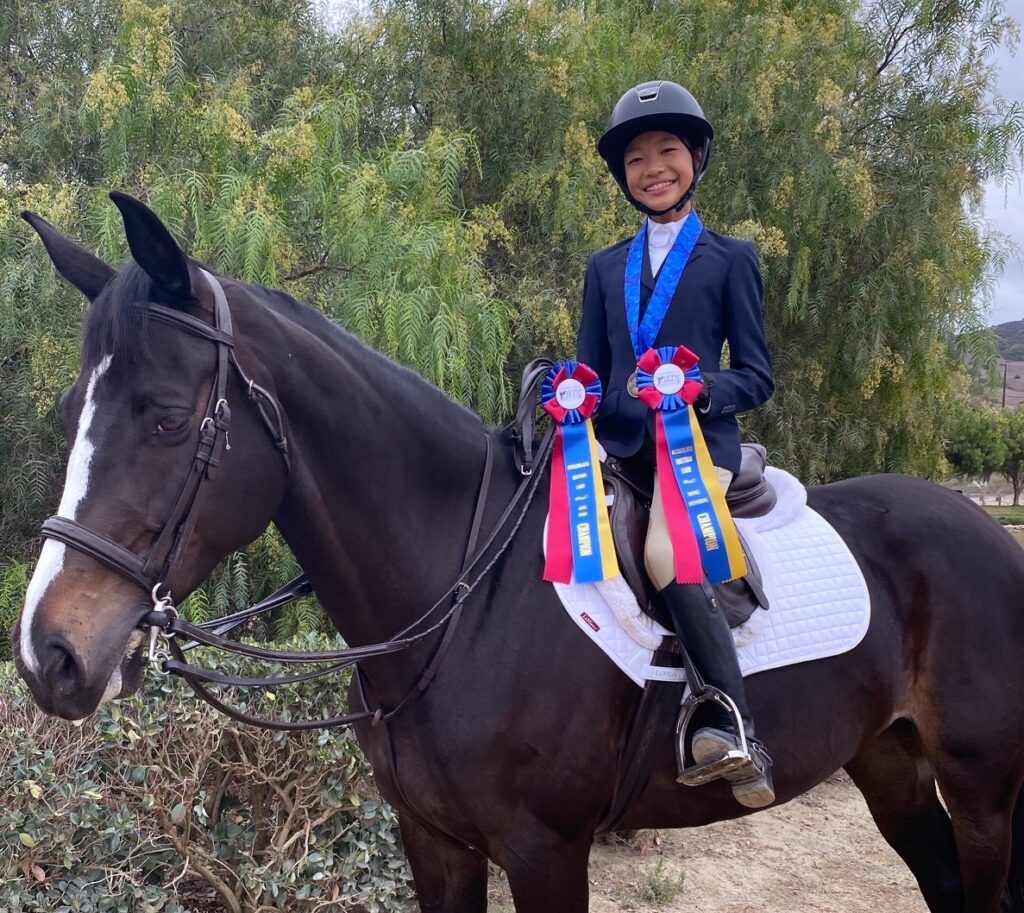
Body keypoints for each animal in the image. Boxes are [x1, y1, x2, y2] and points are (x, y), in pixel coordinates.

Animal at [12, 192, 1024, 913]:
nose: (48, 654)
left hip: (982, 787)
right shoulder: (435, 842)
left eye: (166, 419)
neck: (462, 600)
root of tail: (982, 528)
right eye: (67, 413)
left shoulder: (545, 850)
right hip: (888, 762)